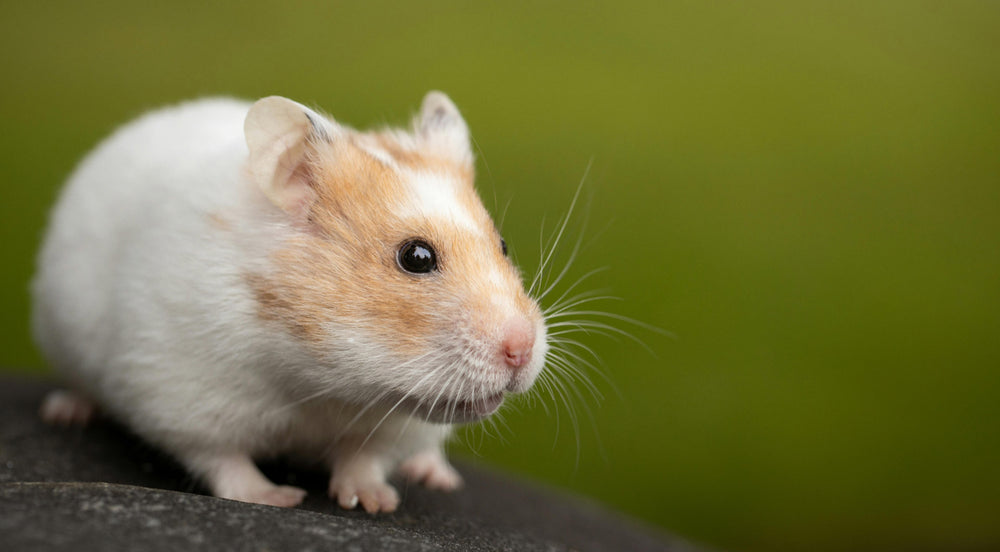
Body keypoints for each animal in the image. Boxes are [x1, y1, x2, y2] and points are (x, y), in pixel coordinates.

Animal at [31, 92, 548, 513]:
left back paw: (434, 474)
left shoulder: (392, 426)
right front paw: (278, 498)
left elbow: (364, 458)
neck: (322, 382)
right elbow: (223, 459)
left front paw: (374, 502)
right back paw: (66, 411)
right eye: (416, 257)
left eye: (503, 245)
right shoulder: (179, 392)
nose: (521, 351)